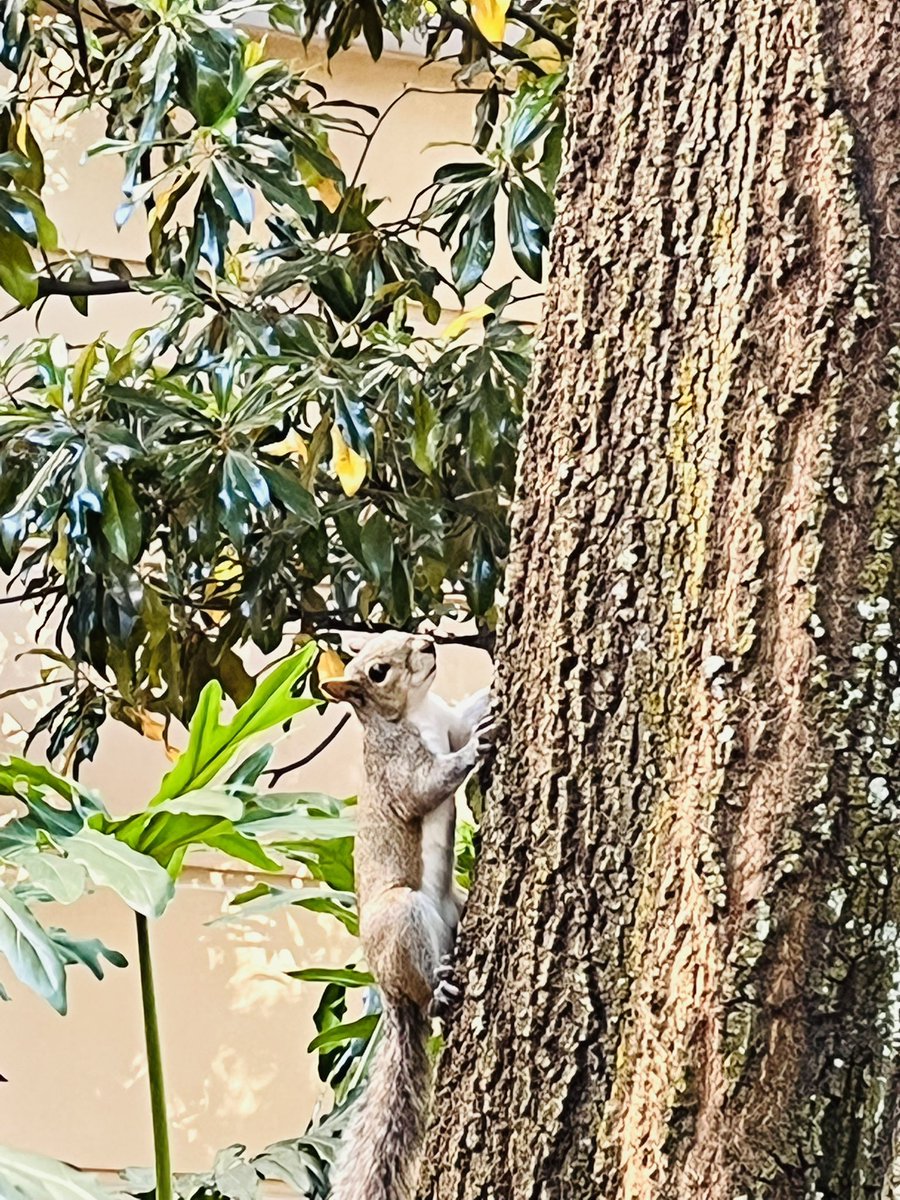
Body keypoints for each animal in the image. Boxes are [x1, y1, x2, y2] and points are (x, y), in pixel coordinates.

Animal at [321, 631, 493, 1200]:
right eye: (377, 671)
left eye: (396, 635)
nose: (428, 642)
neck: (417, 712)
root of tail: (389, 992)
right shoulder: (398, 772)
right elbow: (428, 784)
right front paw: (477, 748)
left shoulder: (447, 719)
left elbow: (465, 714)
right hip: (404, 917)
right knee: (424, 988)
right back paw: (439, 992)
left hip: (455, 905)